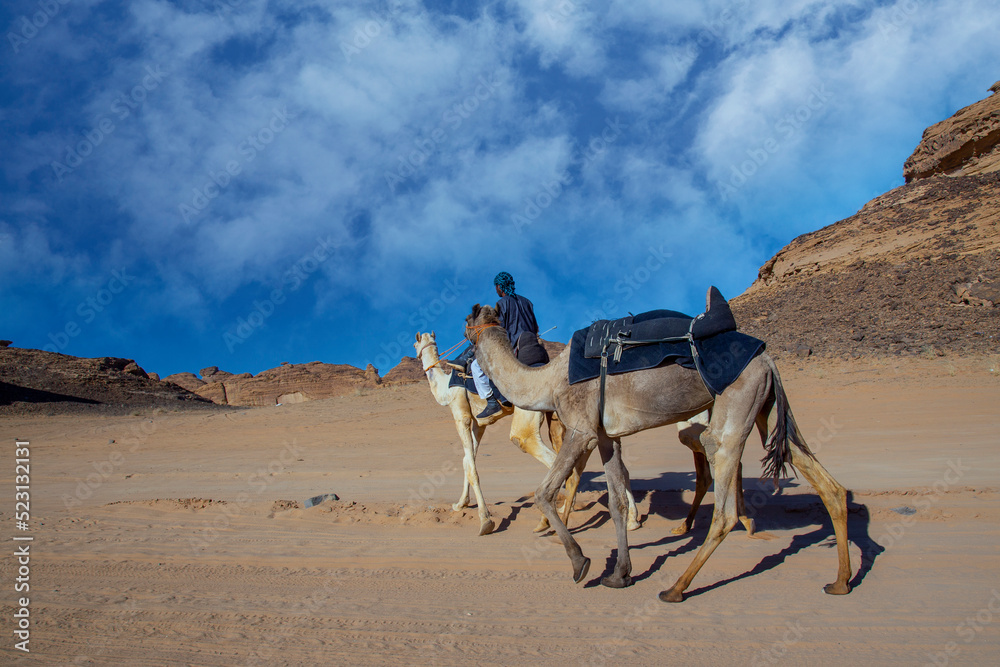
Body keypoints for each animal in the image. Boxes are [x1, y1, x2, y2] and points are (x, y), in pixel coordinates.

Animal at [413, 332, 640, 536]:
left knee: (539, 450)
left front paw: (485, 521)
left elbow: (470, 465)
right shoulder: (480, 424)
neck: (445, 388)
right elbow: (467, 460)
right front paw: (460, 504)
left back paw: (549, 519)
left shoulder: (461, 414)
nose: (416, 353)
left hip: (529, 417)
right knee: (610, 464)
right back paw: (631, 520)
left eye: (416, 343)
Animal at [465, 298, 853, 603]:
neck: (545, 382)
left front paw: (580, 564)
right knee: (826, 483)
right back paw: (840, 581)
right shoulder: (606, 437)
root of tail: (767, 359)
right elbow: (617, 504)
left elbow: (543, 492)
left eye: (466, 322)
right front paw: (620, 574)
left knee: (723, 504)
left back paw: (676, 588)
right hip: (766, 407)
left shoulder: (580, 430)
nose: (463, 355)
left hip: (737, 401)